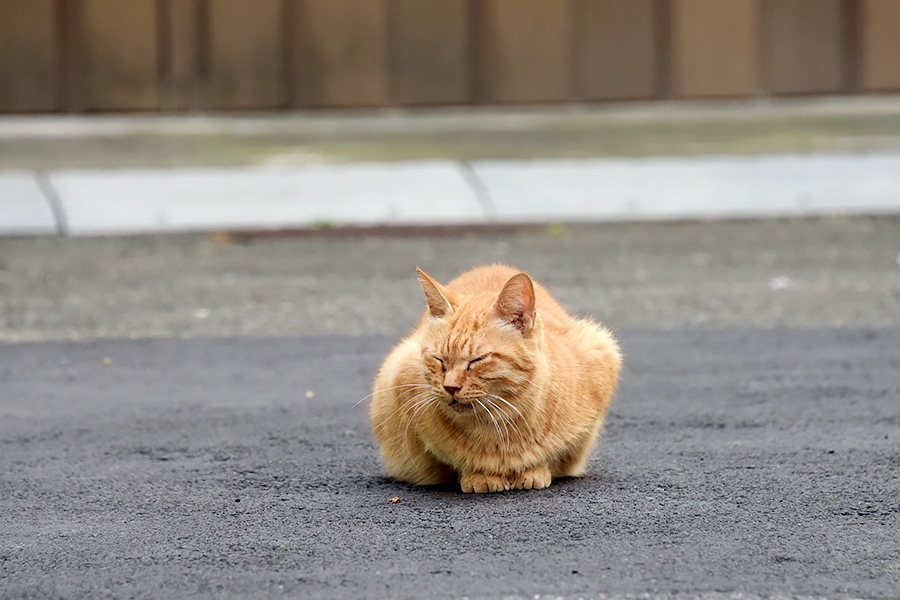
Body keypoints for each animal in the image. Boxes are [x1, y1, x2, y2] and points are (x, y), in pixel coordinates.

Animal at [368, 264, 620, 492]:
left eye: (476, 360)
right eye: (439, 361)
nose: (450, 387)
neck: (500, 426)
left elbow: (554, 456)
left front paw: (534, 470)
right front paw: (479, 475)